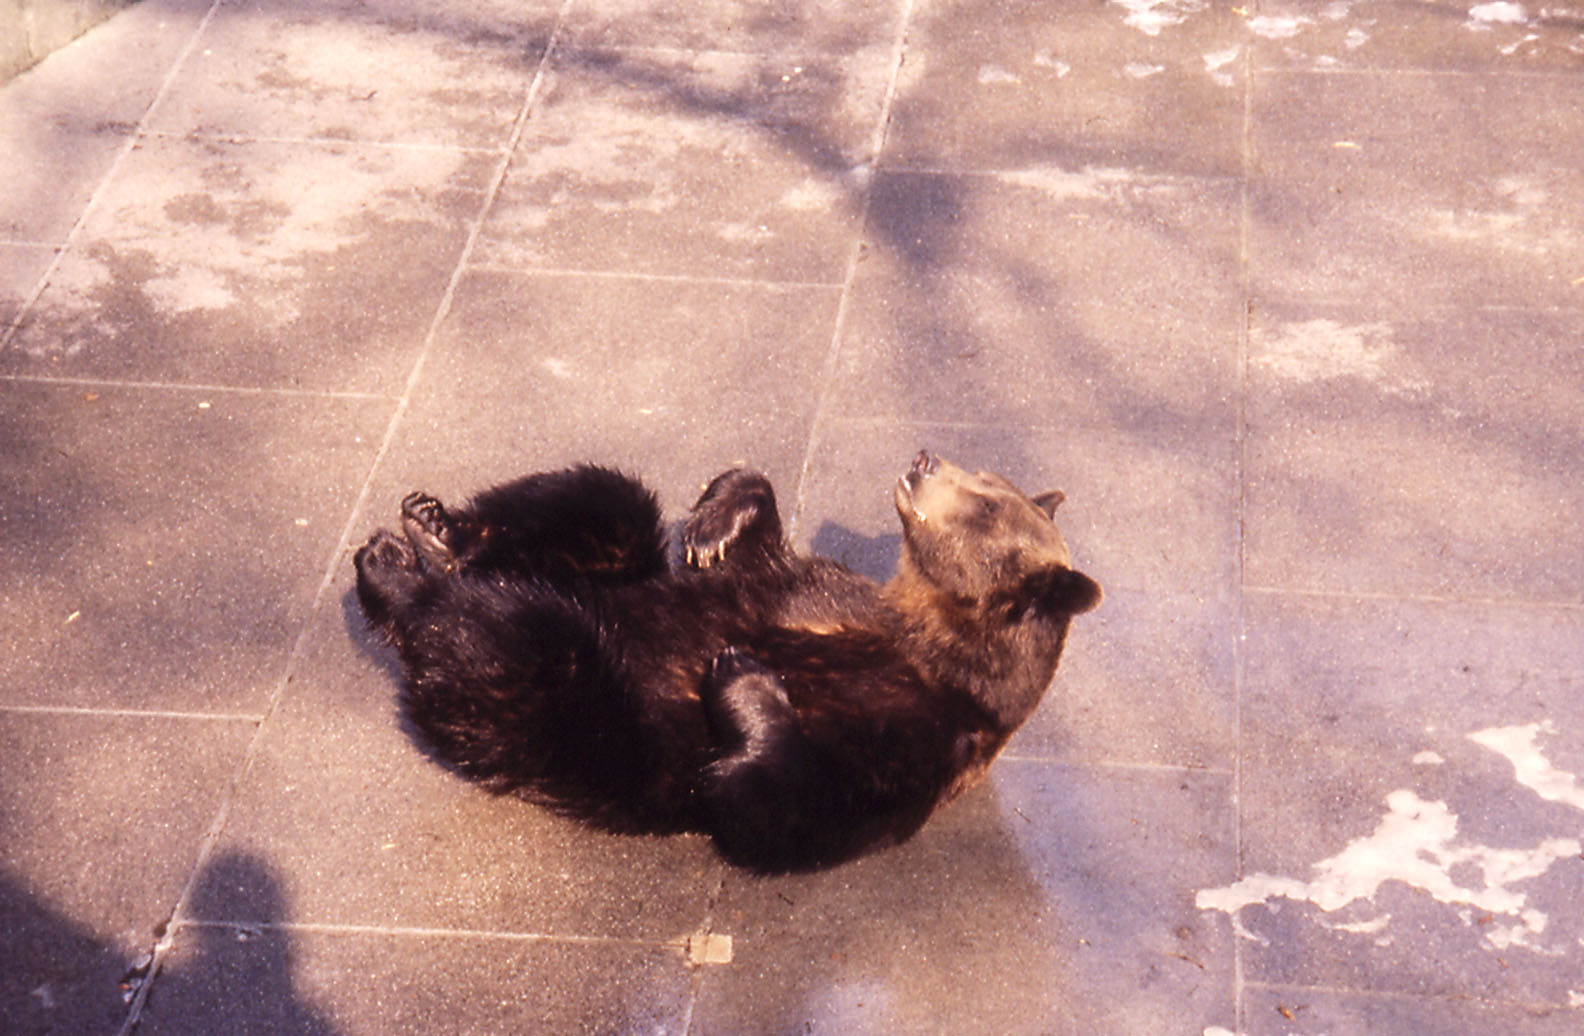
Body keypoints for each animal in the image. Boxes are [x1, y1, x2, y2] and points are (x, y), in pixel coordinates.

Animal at [353, 452, 1100, 872]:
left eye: (985, 503)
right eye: (987, 478)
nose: (923, 460)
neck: (929, 637)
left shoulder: (915, 739)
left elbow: (777, 807)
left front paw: (743, 673)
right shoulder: (816, 584)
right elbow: (745, 533)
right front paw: (715, 523)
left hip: (586, 724)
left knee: (510, 645)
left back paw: (405, 576)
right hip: (606, 562)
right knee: (603, 497)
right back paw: (433, 530)